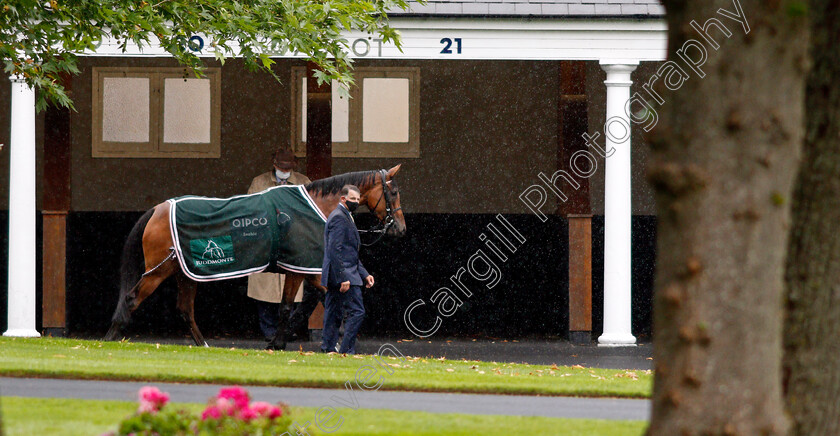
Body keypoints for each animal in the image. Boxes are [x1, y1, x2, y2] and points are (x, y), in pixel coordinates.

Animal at [103, 165, 406, 350]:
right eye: (393, 192)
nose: (400, 228)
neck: (314, 206)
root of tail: (158, 208)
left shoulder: (306, 270)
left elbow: (308, 301)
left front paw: (283, 341)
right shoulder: (299, 268)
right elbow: (290, 306)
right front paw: (281, 342)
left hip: (185, 272)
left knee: (185, 309)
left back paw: (204, 346)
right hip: (158, 271)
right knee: (132, 299)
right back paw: (109, 339)